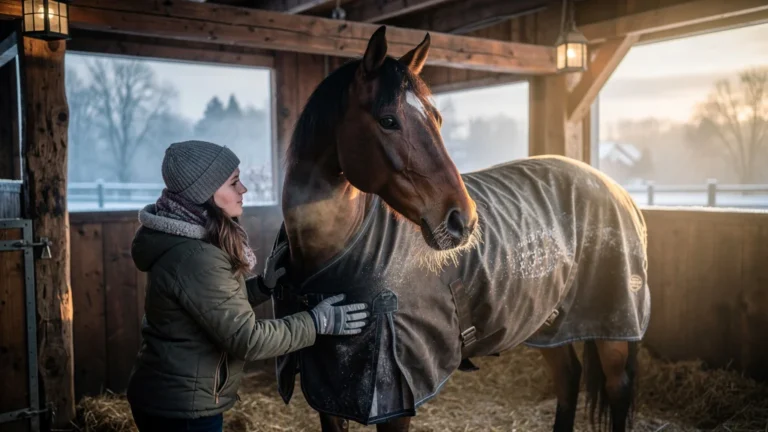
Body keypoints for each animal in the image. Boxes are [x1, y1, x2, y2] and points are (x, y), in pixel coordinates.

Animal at [271, 25, 650, 432]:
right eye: (387, 120)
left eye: (436, 119)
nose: (463, 221)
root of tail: (616, 190)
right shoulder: (326, 394)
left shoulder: (396, 399)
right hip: (548, 323)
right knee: (569, 377)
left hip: (613, 326)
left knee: (616, 387)